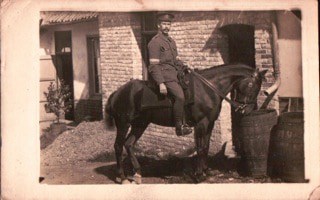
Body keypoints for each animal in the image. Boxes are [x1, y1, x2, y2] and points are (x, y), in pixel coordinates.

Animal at [105, 64, 268, 184]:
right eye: (253, 85)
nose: (247, 111)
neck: (207, 89)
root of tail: (117, 93)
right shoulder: (201, 124)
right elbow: (200, 148)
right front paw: (199, 175)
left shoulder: (210, 123)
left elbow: (206, 147)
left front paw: (206, 171)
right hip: (123, 124)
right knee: (118, 146)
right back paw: (122, 177)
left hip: (140, 124)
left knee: (129, 144)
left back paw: (137, 173)